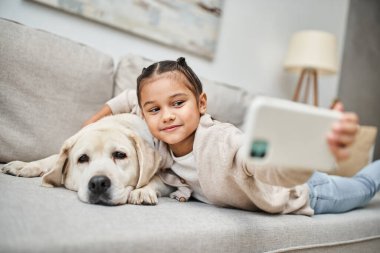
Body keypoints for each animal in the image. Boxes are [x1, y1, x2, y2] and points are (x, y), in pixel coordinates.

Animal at [1, 113, 173, 205]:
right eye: (82, 158)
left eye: (119, 155)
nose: (98, 183)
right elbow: (52, 159)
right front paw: (24, 165)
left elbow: (156, 179)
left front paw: (143, 190)